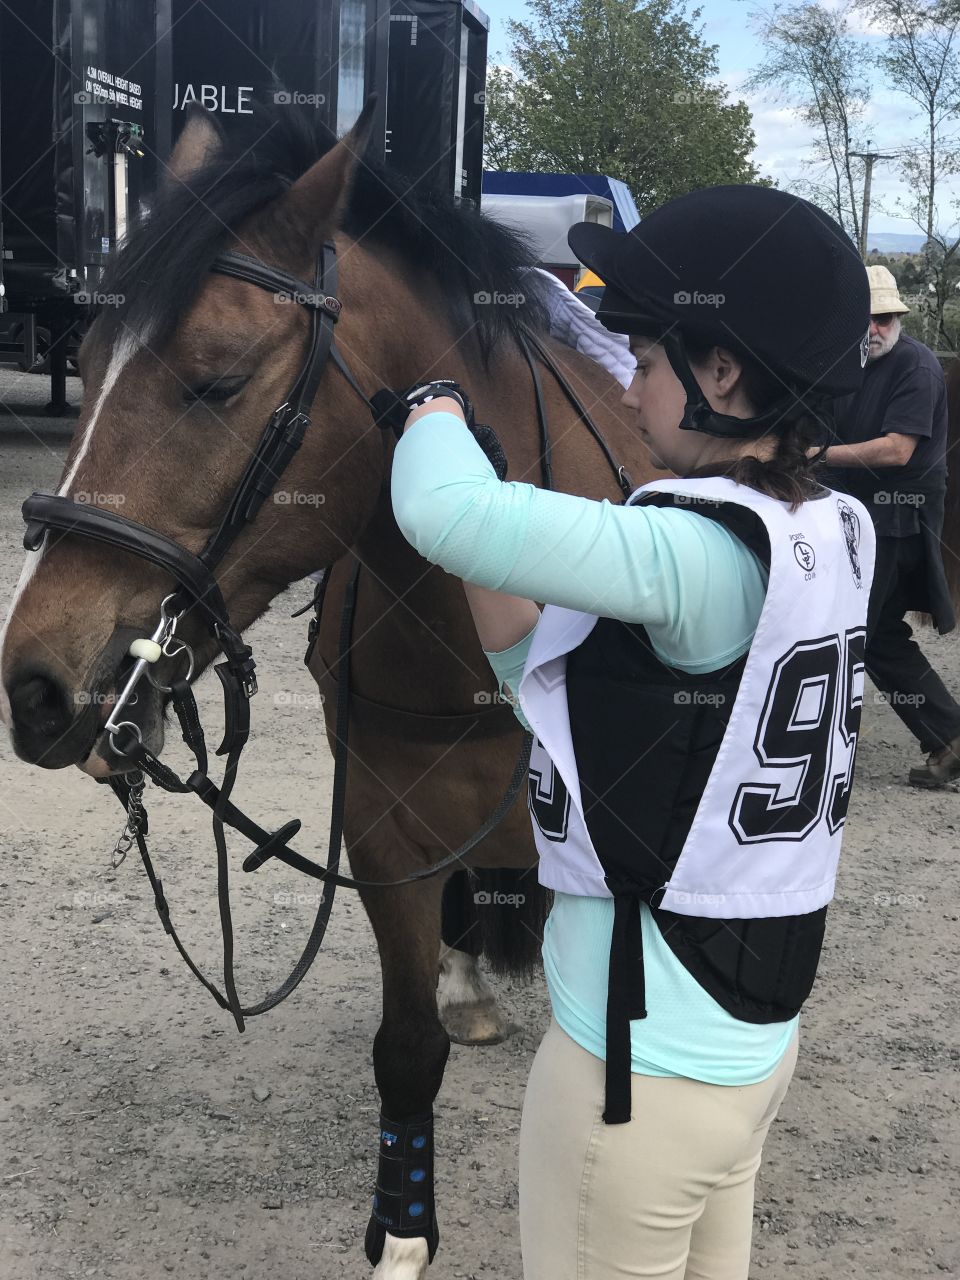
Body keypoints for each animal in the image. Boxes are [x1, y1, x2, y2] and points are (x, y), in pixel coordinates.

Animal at [0, 104, 655, 1274]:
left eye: (216, 378)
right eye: (85, 361)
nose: (36, 682)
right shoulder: (388, 829)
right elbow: (407, 1047)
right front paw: (402, 1235)